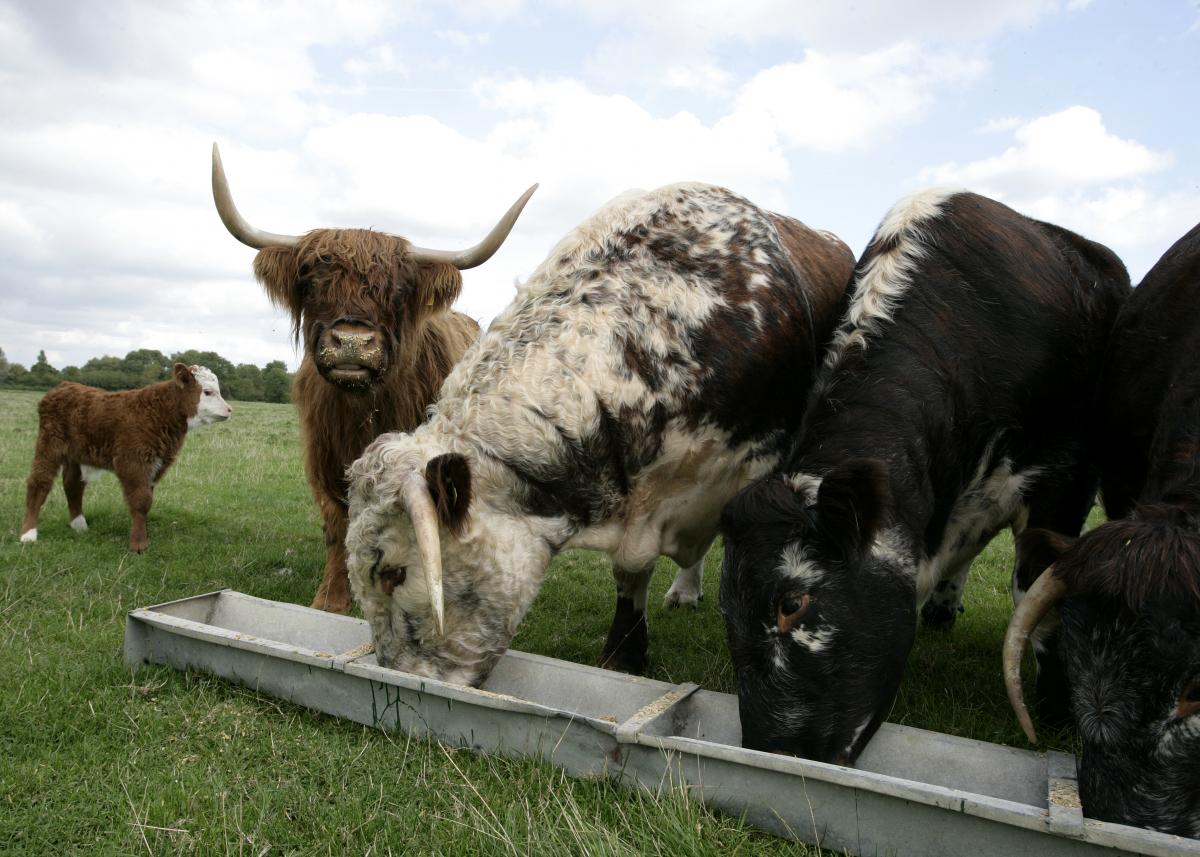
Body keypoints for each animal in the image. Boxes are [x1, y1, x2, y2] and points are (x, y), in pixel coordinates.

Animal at [18, 357, 229, 547]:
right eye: (208, 392)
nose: (229, 409)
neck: (159, 412)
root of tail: (63, 386)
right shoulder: (133, 461)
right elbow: (141, 500)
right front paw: (138, 544)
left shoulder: (155, 465)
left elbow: (147, 500)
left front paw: (144, 535)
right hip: (49, 444)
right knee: (39, 482)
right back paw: (28, 534)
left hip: (75, 453)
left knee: (73, 485)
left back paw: (79, 525)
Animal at [213, 145, 537, 614]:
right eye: (311, 281)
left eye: (399, 291)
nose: (352, 342)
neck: (363, 411)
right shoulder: (325, 458)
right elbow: (337, 525)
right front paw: (331, 599)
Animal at [715, 188, 1128, 763]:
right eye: (725, 613)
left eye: (791, 604)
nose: (773, 750)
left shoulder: (1065, 479)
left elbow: (1037, 596)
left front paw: (1057, 713)